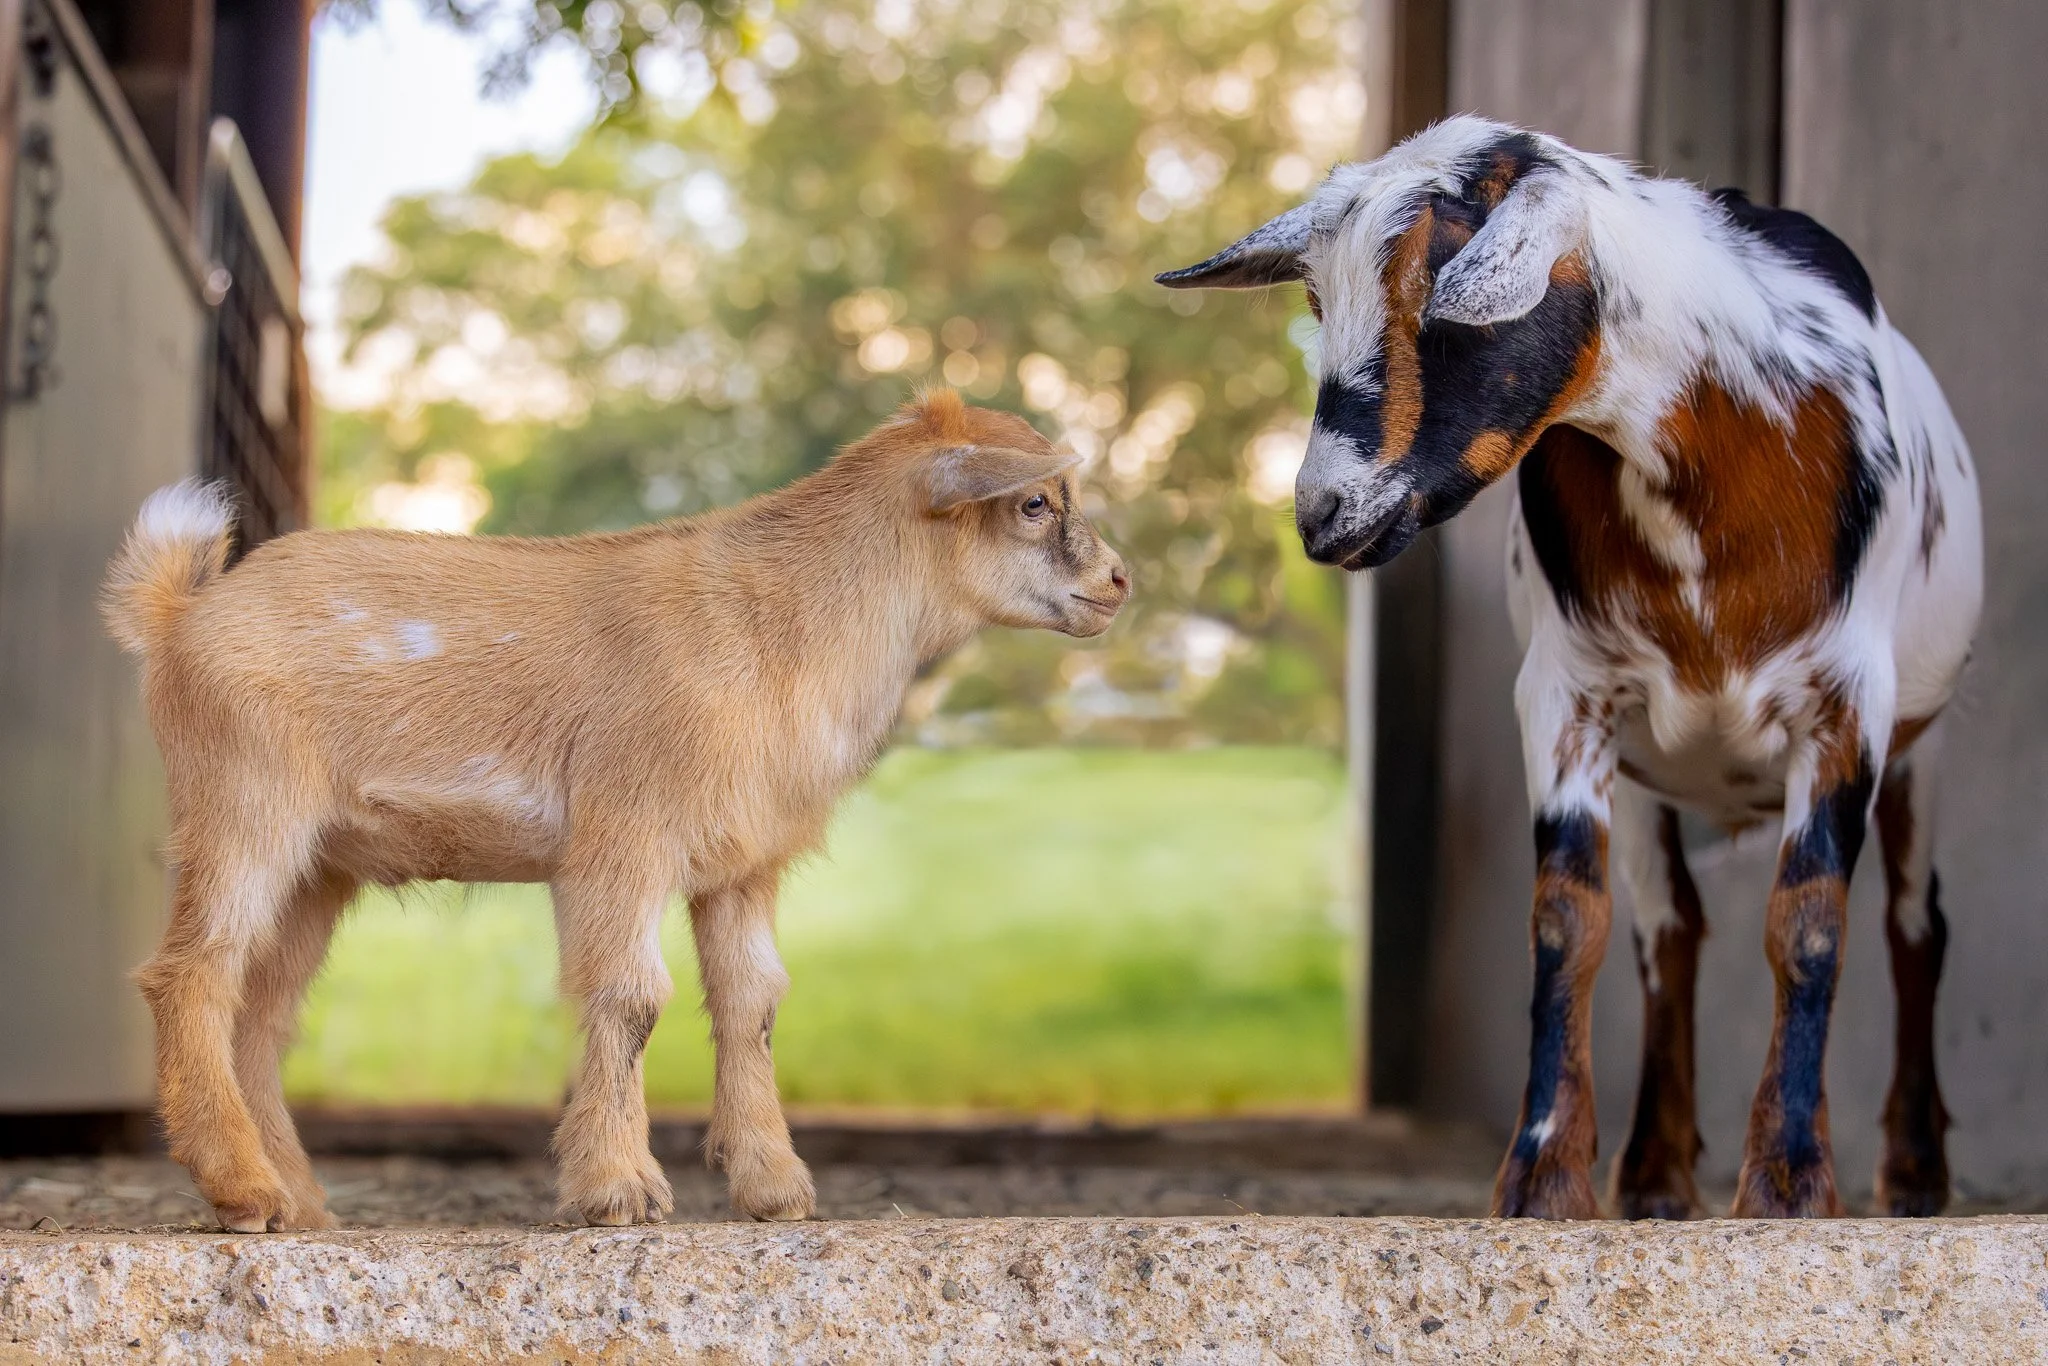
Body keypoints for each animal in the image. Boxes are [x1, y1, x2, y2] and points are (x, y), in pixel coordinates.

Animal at [102, 389, 1129, 1231]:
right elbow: (631, 998)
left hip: (322, 865)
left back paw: (301, 1202)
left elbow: (754, 1001)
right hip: (245, 809)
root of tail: (179, 615)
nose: (1119, 583)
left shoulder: (742, 865)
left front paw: (773, 1188)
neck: (782, 624)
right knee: (190, 976)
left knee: (260, 1016)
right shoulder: (623, 838)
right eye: (1035, 502)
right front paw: (618, 1190)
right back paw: (244, 1193)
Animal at [1160, 116, 1982, 1219]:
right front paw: (1544, 1176)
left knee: (1910, 925)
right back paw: (1654, 1173)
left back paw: (1913, 1171)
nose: (1323, 514)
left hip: (1920, 750)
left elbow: (1808, 923)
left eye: (1440, 285)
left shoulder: (1846, 705)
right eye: (1315, 302)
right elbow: (1566, 920)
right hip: (1649, 772)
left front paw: (1788, 1184)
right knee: (1668, 933)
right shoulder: (1566, 696)